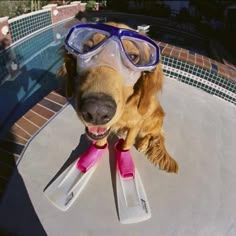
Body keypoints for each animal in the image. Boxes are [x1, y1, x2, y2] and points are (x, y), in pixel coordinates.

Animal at [59, 22, 177, 173]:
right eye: (87, 48)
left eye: (132, 57)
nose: (97, 111)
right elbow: (100, 140)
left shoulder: (135, 125)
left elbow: (126, 144)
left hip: (152, 120)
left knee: (154, 135)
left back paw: (143, 143)